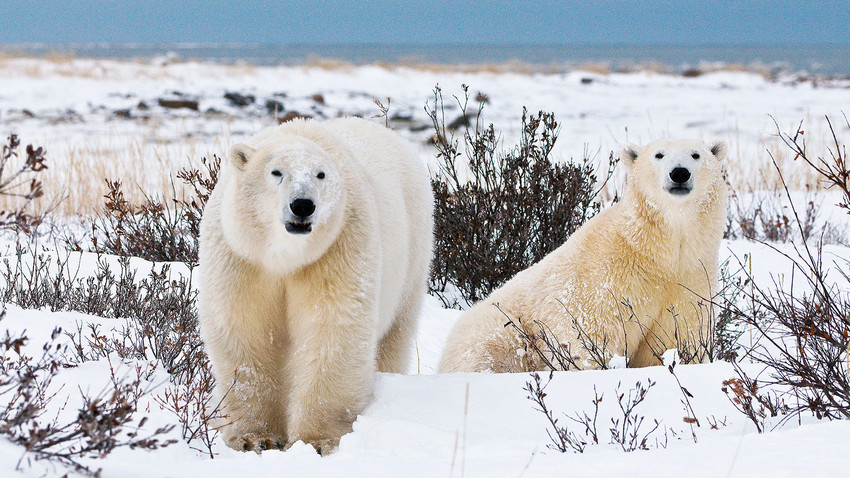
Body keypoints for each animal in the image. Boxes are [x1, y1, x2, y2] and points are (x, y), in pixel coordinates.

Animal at [200, 117, 434, 454]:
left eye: (320, 175)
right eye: (276, 172)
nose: (302, 205)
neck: (285, 257)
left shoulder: (338, 246)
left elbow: (332, 329)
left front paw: (317, 440)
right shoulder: (241, 258)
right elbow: (246, 330)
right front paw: (254, 437)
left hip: (412, 256)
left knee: (394, 334)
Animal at [440, 138, 724, 374]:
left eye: (696, 154)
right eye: (659, 154)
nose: (679, 173)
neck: (655, 253)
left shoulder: (688, 280)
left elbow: (674, 339)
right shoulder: (606, 279)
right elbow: (590, 337)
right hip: (503, 330)